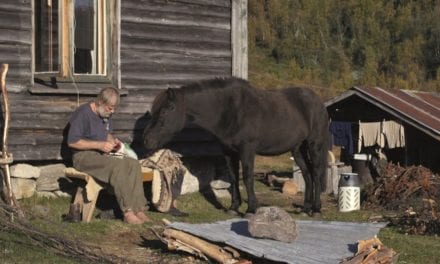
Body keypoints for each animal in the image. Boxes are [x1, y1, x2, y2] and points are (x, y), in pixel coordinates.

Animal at [143, 77, 328, 217]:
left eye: (166, 110)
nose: (147, 140)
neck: (230, 110)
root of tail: (318, 101)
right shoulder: (228, 152)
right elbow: (233, 177)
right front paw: (233, 208)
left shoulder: (247, 150)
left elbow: (247, 177)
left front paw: (251, 209)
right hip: (298, 149)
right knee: (307, 174)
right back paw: (305, 209)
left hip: (314, 145)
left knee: (316, 173)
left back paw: (316, 209)